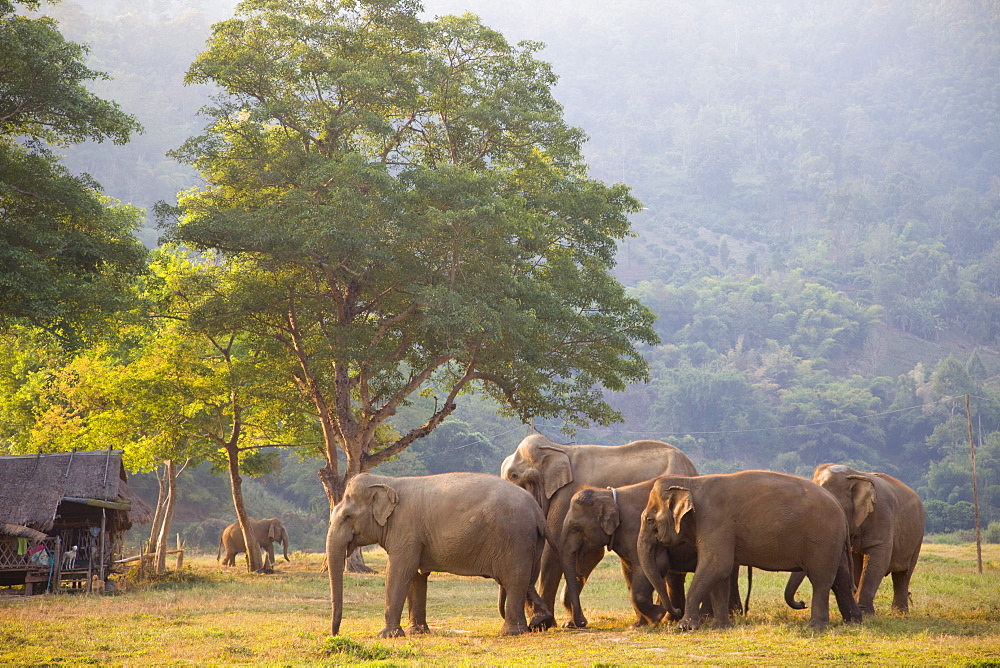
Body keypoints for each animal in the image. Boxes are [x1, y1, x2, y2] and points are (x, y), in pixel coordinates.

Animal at [332, 472, 560, 640]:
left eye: (347, 516)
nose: (335, 634)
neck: (389, 481)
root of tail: (537, 510)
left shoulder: (405, 530)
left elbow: (399, 571)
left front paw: (387, 636)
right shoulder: (415, 537)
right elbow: (416, 576)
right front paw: (417, 632)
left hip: (515, 538)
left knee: (514, 580)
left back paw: (510, 633)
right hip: (531, 540)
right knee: (527, 579)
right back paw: (540, 623)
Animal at [500, 434, 696, 620]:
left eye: (513, 475)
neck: (556, 448)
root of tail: (690, 466)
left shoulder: (566, 495)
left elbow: (554, 550)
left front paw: (547, 624)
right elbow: (588, 554)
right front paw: (569, 621)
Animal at [560, 480, 748, 628]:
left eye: (575, 528)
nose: (581, 622)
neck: (609, 494)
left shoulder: (635, 529)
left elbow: (654, 566)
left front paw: (657, 616)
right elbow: (629, 572)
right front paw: (638, 624)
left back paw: (704, 617)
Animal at [636, 470, 864, 632]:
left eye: (649, 519)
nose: (673, 611)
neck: (691, 482)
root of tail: (840, 510)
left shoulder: (715, 521)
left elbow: (716, 565)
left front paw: (685, 627)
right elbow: (721, 573)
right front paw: (720, 627)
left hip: (822, 539)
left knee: (821, 579)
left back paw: (816, 627)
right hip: (831, 541)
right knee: (840, 578)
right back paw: (853, 621)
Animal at [784, 464, 924, 616]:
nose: (803, 603)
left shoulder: (882, 516)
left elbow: (878, 560)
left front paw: (865, 614)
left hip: (918, 537)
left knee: (903, 575)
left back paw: (900, 613)